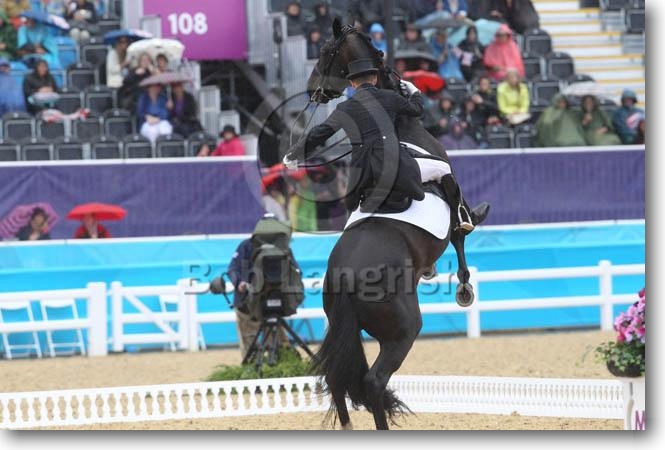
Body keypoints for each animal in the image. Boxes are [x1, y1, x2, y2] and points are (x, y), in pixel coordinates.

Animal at [296, 19, 478, 430]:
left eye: (325, 51)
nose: (313, 88)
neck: (401, 127)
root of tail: (345, 274)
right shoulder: (450, 189)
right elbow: (460, 230)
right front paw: (464, 287)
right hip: (402, 330)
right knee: (374, 380)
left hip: (345, 326)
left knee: (338, 379)